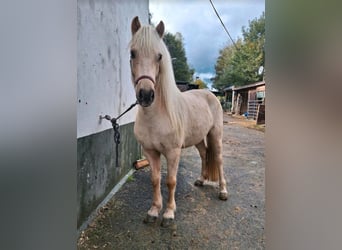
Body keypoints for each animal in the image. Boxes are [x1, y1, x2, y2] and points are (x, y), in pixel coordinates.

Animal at [128, 16, 227, 226]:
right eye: (132, 53)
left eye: (159, 56)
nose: (146, 95)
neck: (156, 116)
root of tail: (211, 94)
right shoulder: (150, 152)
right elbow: (155, 179)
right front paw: (154, 210)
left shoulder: (173, 152)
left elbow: (171, 181)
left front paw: (168, 213)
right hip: (198, 139)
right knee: (204, 154)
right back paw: (201, 179)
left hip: (215, 135)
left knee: (219, 159)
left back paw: (223, 191)